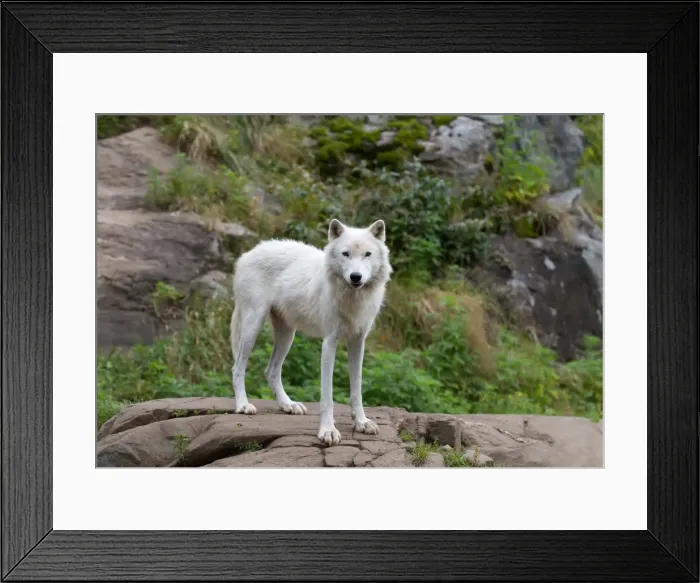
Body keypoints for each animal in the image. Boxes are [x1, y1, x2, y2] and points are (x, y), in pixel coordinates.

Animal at [230, 218, 393, 446]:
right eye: (345, 254)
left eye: (367, 254)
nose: (356, 277)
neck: (352, 298)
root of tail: (248, 254)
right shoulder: (329, 343)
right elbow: (327, 396)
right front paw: (328, 431)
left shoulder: (358, 342)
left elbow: (356, 390)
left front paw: (362, 422)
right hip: (253, 326)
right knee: (237, 368)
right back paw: (243, 405)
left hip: (287, 335)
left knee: (271, 371)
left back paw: (288, 405)